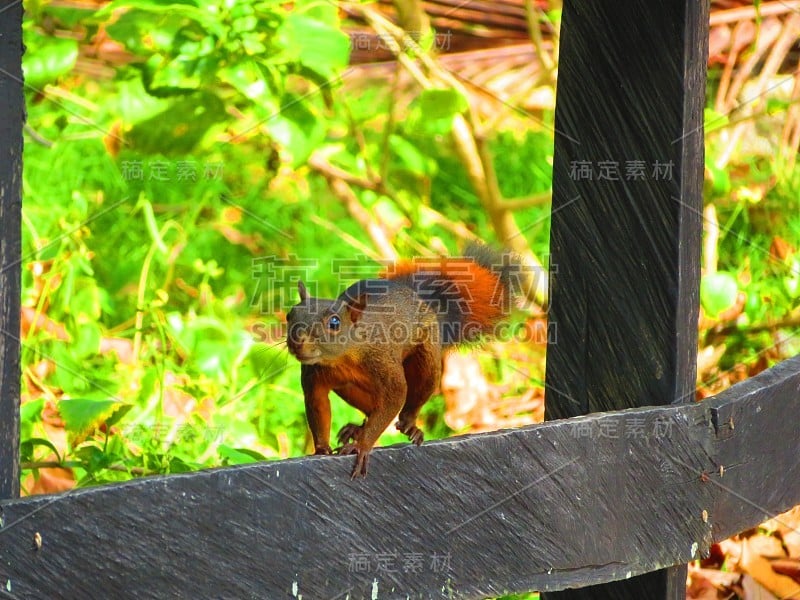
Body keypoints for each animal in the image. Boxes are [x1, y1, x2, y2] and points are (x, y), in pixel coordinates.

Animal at [284, 241, 516, 480]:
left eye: (334, 323)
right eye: (290, 315)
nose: (296, 341)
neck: (343, 358)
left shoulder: (382, 357)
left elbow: (396, 393)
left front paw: (361, 445)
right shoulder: (314, 377)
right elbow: (318, 405)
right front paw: (321, 448)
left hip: (427, 356)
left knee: (414, 396)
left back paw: (409, 424)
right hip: (348, 388)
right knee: (372, 408)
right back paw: (357, 428)